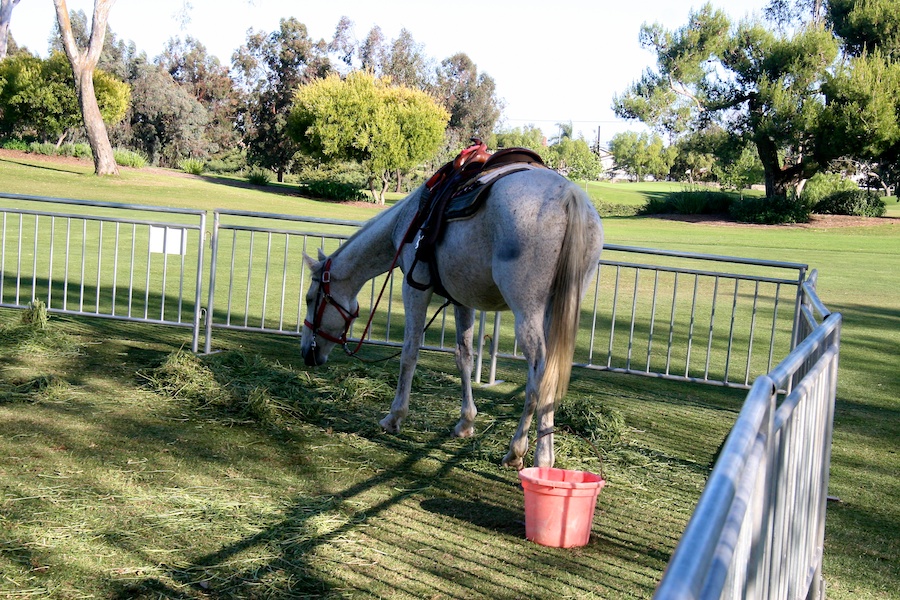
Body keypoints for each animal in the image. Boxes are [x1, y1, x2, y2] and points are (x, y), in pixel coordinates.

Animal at [302, 168, 604, 468]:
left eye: (309, 298)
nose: (307, 353)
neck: (409, 219)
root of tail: (569, 195)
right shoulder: (462, 300)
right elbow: (464, 357)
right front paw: (465, 422)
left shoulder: (415, 288)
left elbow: (409, 353)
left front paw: (394, 416)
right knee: (542, 374)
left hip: (527, 310)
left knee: (539, 375)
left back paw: (529, 454)